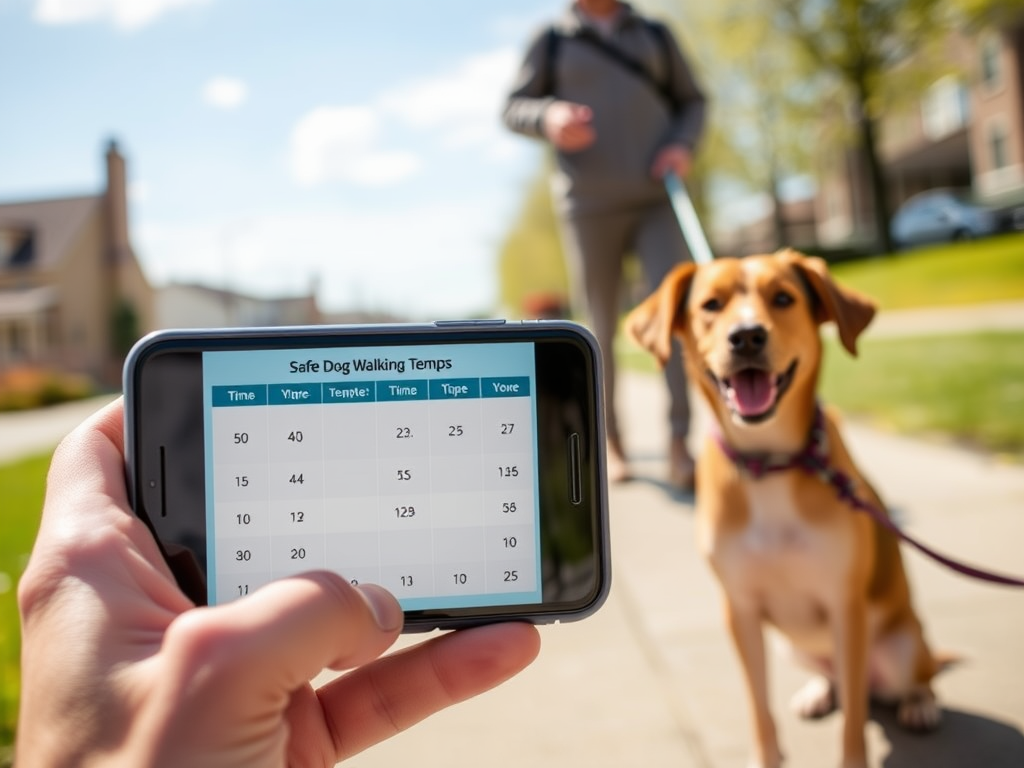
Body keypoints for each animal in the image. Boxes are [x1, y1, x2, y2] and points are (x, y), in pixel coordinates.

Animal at [626, 250, 946, 768]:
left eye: (783, 298)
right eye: (711, 305)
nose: (747, 336)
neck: (769, 462)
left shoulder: (845, 605)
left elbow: (852, 724)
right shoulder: (740, 610)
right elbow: (760, 709)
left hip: (903, 645)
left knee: (916, 677)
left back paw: (919, 704)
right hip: (791, 648)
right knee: (835, 678)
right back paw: (818, 690)